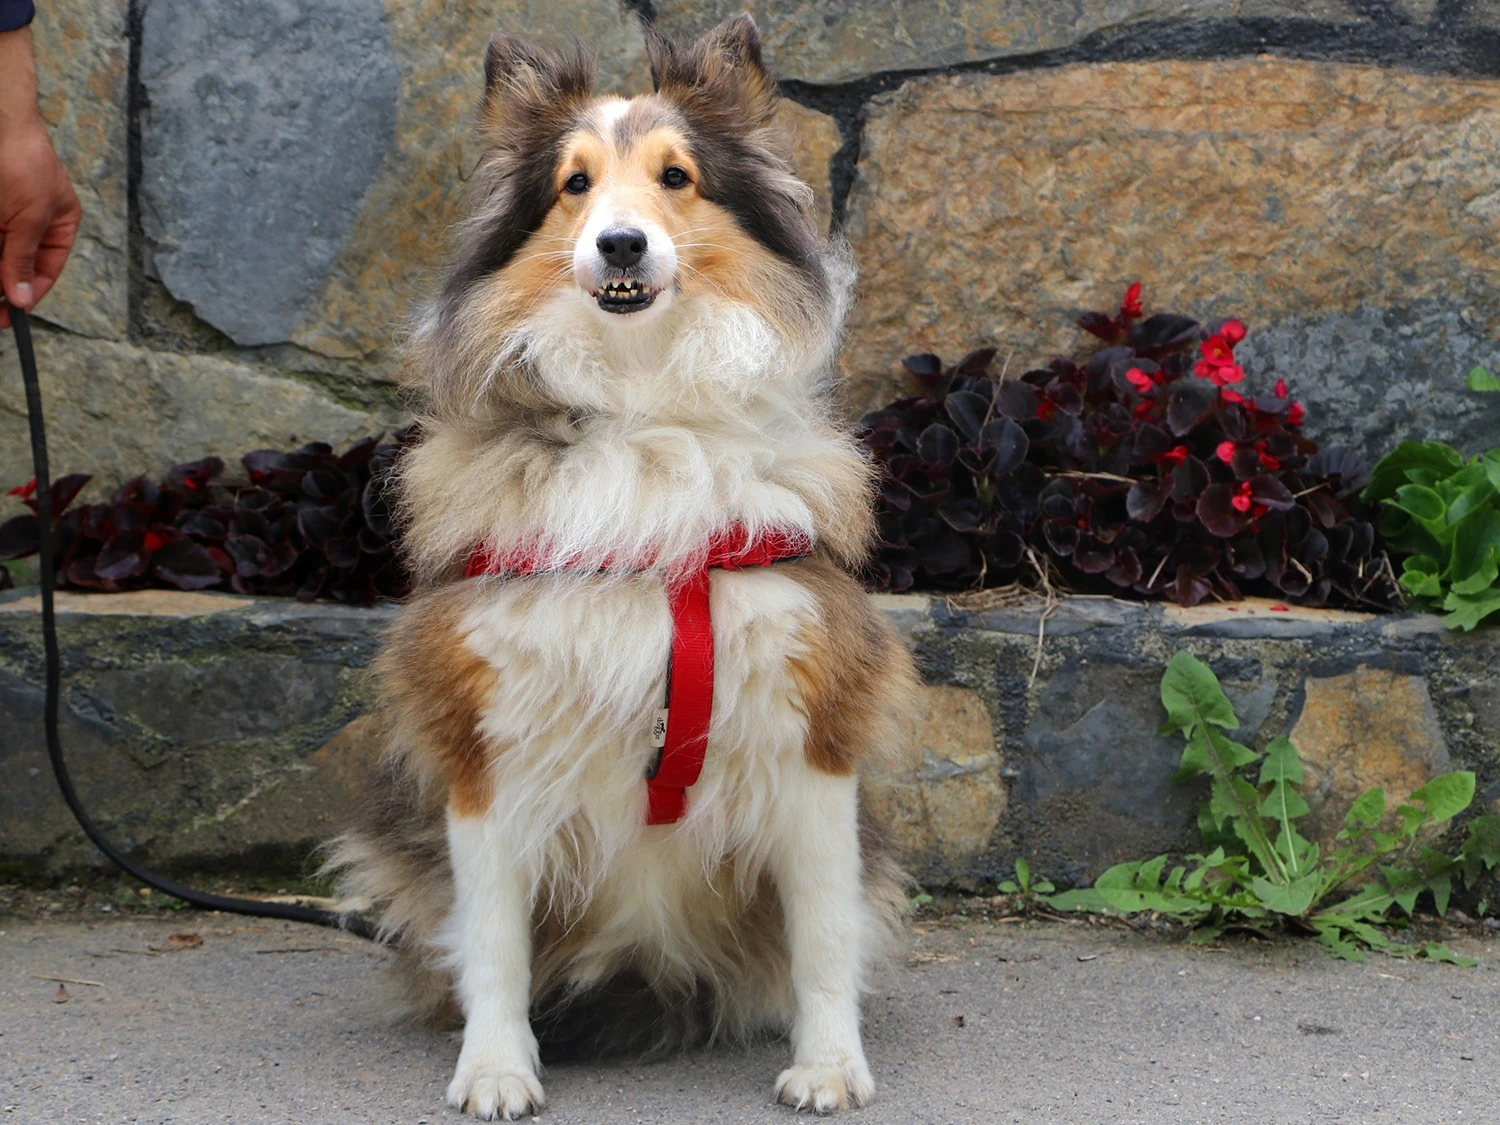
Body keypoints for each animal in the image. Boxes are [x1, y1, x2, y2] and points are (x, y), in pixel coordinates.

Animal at [325, 13, 912, 1122]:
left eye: (676, 176)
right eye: (574, 184)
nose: (622, 244)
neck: (641, 402)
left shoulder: (810, 715)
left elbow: (823, 928)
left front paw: (828, 1065)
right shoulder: (486, 732)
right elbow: (495, 938)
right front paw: (497, 1069)